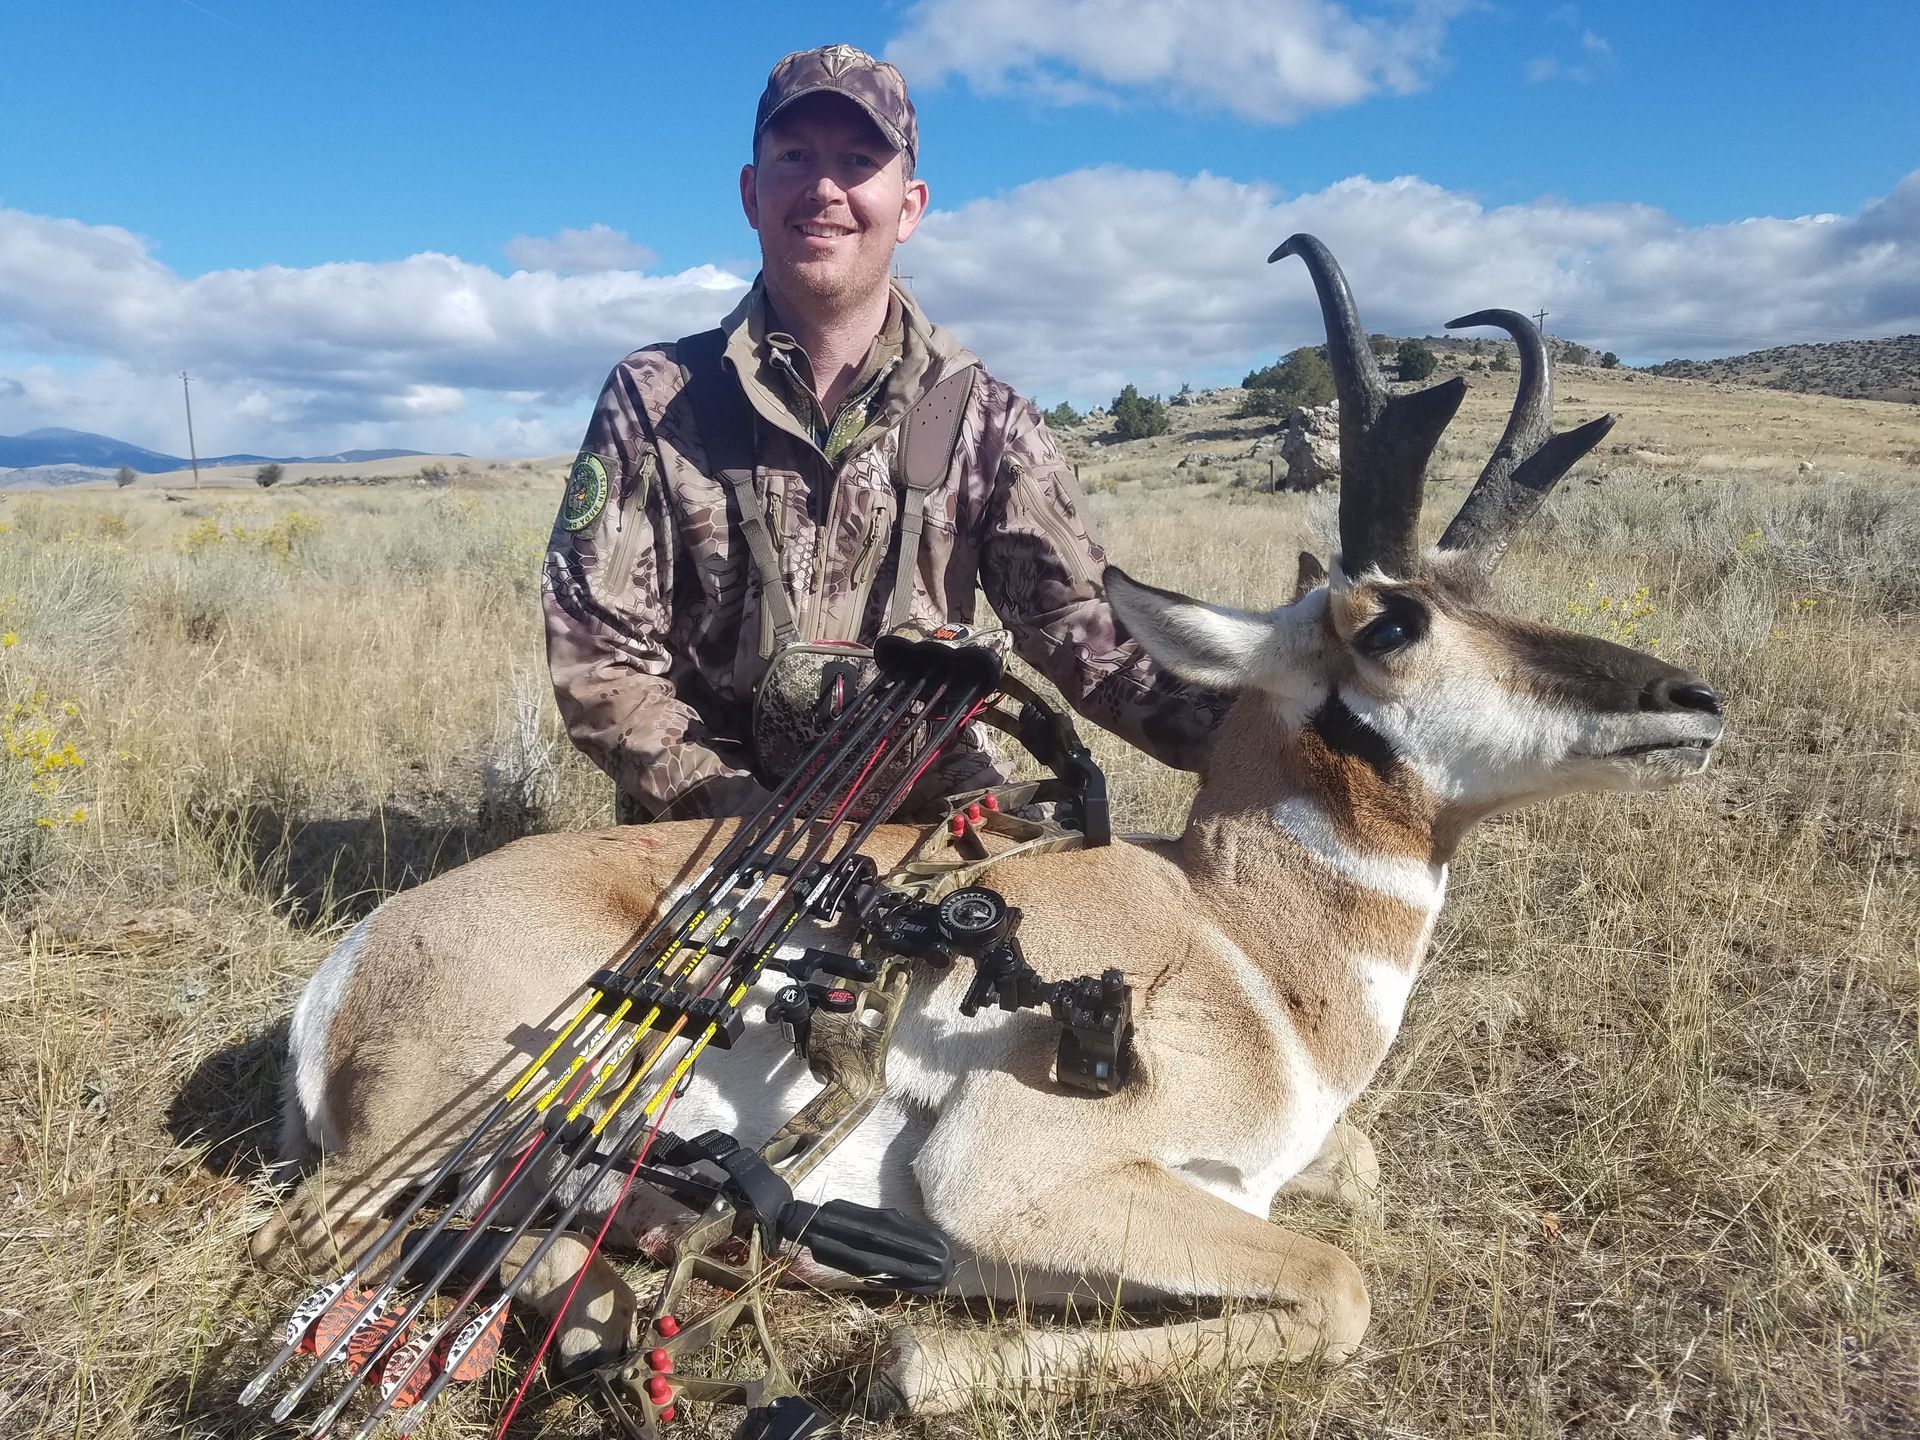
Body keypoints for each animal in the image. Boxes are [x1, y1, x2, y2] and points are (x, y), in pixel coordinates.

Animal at [253, 236, 1724, 1417]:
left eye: (1487, 597)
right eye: (1395, 622)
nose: (1692, 699)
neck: (1243, 944)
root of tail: (355, 963)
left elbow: (1350, 1189)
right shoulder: (1019, 1179)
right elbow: (1339, 1284)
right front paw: (926, 1359)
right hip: (435, 1144)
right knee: (335, 1242)